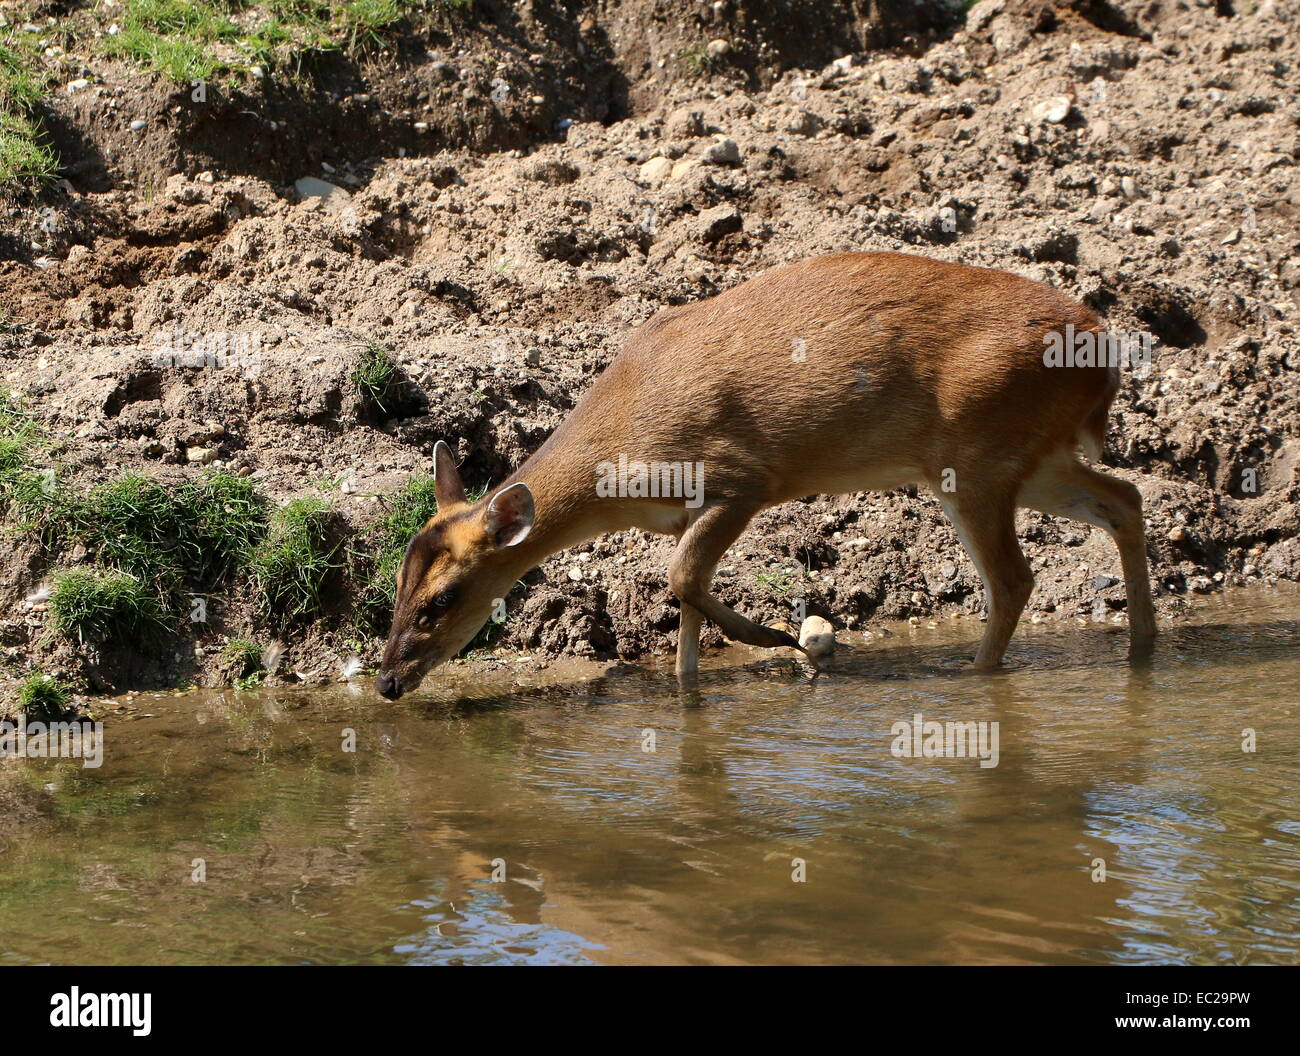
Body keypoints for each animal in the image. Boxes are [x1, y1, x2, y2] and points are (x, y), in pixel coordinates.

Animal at [374, 251, 1156, 700]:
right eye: (395, 587)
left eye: (442, 600)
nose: (385, 682)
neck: (622, 448)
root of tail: (1103, 356)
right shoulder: (692, 511)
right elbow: (685, 610)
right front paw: (696, 686)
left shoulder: (741, 478)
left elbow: (682, 579)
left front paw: (784, 643)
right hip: (1031, 457)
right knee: (1127, 496)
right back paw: (1142, 649)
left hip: (977, 454)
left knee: (1016, 577)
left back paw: (975, 676)